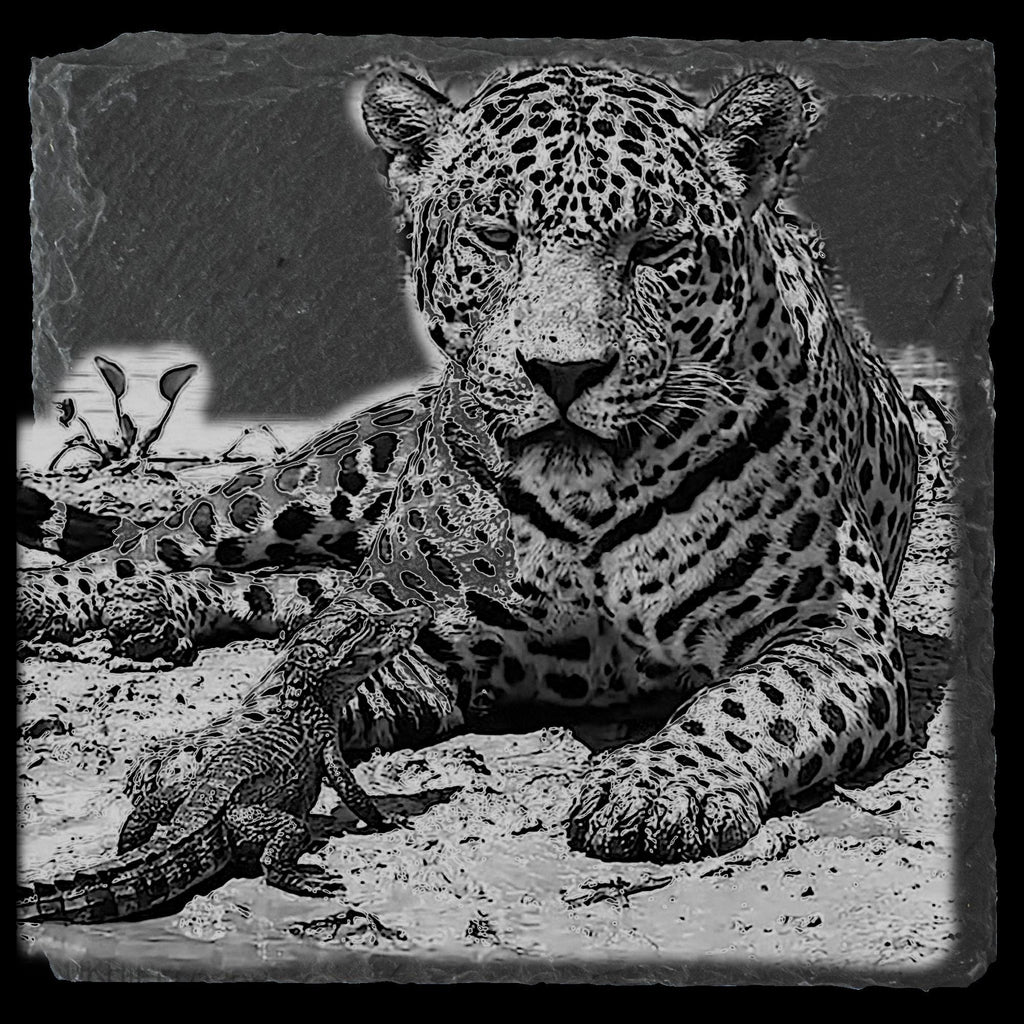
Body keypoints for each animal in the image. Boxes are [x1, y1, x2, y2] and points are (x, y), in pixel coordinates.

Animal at [17, 63, 919, 864]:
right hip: (317, 484)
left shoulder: (834, 630)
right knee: (157, 541)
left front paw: (660, 785)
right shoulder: (427, 636)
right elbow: (292, 680)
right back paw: (77, 597)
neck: (589, 496)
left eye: (655, 247)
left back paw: (158, 610)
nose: (565, 371)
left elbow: (744, 704)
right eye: (498, 238)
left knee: (290, 589)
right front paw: (217, 752)